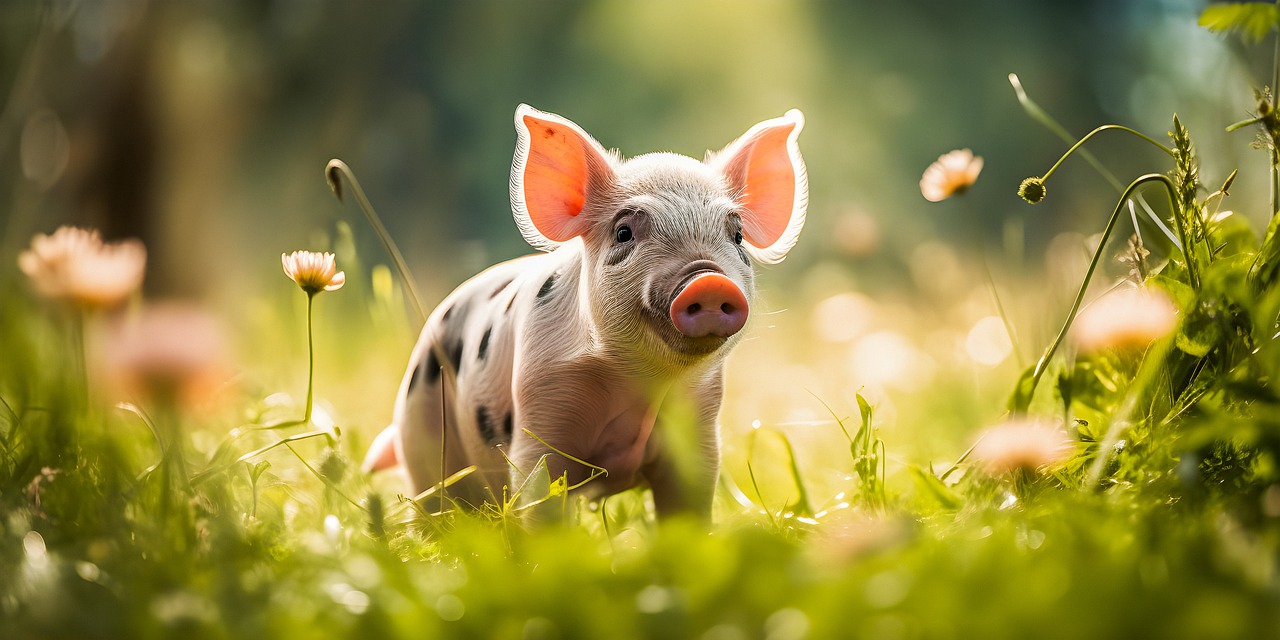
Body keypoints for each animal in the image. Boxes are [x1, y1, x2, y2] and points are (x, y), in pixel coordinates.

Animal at [363, 104, 807, 522]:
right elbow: (539, 500)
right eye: (624, 232)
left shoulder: (700, 432)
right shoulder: (539, 420)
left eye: (737, 236)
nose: (709, 280)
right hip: (422, 437)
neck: (641, 384)